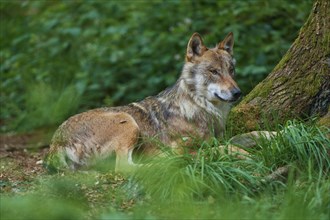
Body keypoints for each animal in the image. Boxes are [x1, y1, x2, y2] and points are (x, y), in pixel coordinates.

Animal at [44, 32, 242, 173]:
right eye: (214, 71)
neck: (200, 109)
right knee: (124, 167)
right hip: (128, 122)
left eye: (231, 70)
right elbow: (225, 148)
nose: (237, 93)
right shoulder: (183, 146)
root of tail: (56, 140)